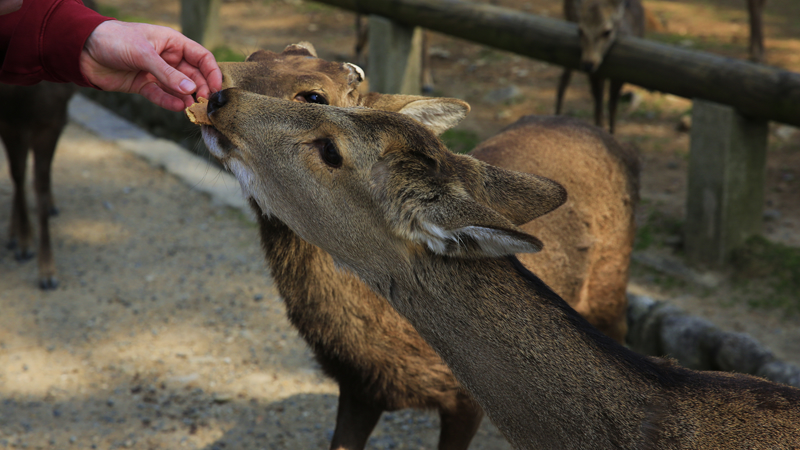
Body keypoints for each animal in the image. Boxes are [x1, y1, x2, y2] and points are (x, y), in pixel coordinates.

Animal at [206, 42, 637, 449]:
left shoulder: (466, 401)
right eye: (255, 55)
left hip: (611, 285)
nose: (216, 92)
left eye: (314, 96)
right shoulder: (358, 390)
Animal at [555, 0, 646, 134]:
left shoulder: (621, 74)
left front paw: (611, 132)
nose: (588, 64)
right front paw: (599, 127)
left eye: (607, 31)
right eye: (580, 30)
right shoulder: (594, 73)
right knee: (564, 78)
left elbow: (612, 105)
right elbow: (598, 104)